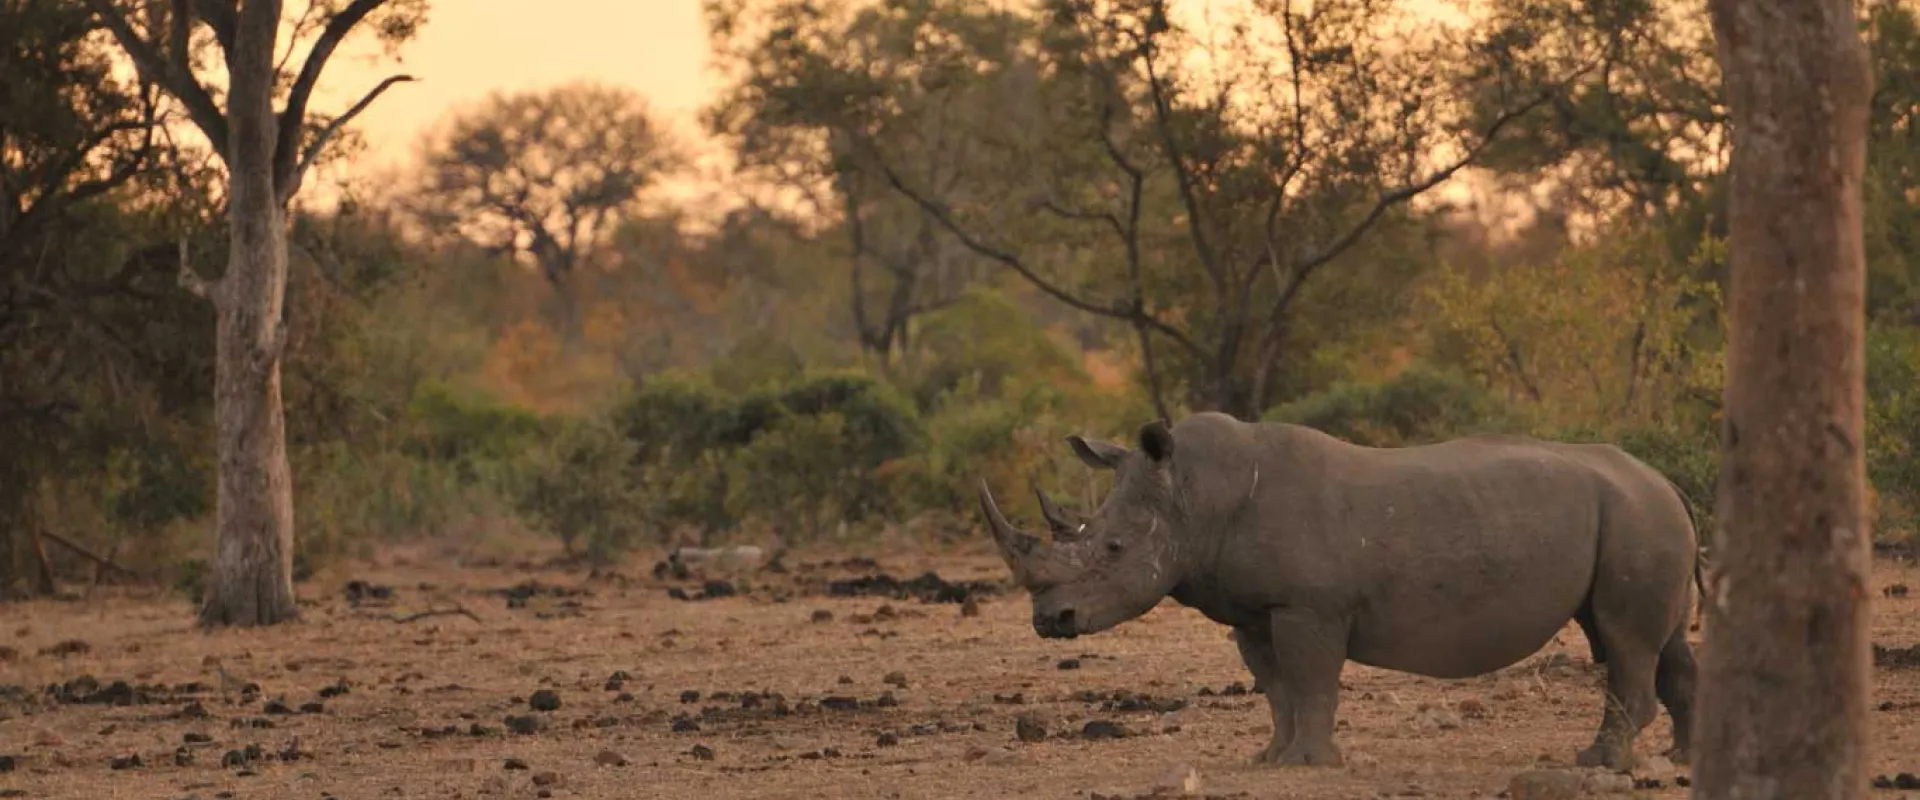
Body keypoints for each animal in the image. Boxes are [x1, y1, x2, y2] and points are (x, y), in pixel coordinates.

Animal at [978, 411, 1701, 770]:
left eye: (1112, 550)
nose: (1050, 619)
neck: (1191, 491)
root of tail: (1667, 480)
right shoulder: (1254, 610)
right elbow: (1276, 686)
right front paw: (1268, 760)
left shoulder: (1310, 605)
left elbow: (1312, 680)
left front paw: (1311, 764)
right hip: (1640, 514)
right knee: (1656, 641)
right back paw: (1682, 758)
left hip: (1636, 516)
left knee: (1625, 639)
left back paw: (1600, 763)